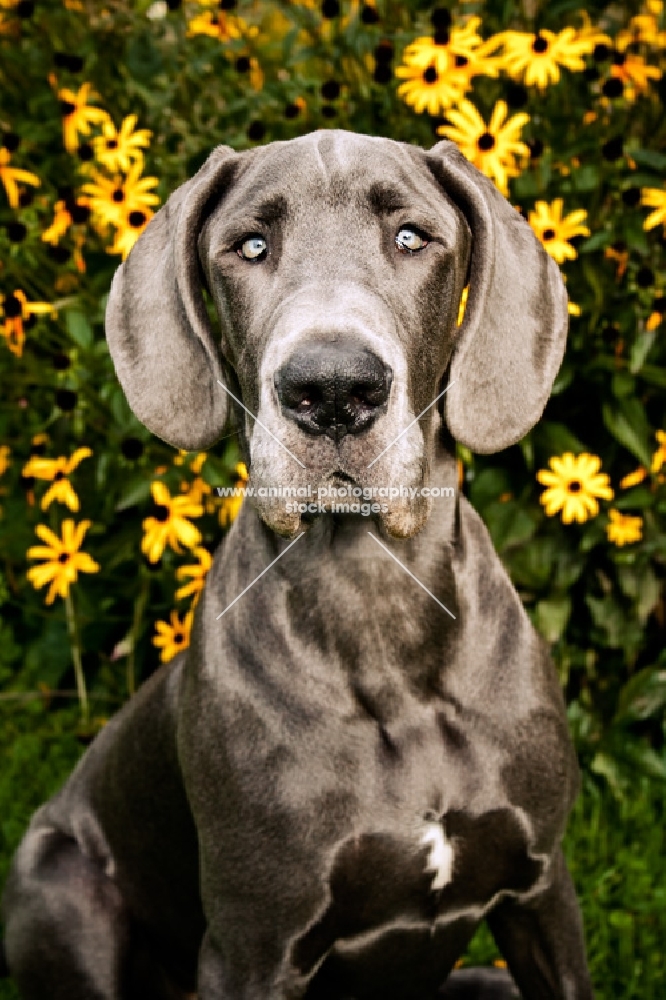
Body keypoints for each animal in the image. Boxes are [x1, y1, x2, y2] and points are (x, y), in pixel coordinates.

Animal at [0, 133, 592, 1000]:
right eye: (250, 247)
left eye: (411, 238)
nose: (334, 388)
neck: (374, 603)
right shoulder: (252, 948)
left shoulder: (542, 888)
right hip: (55, 880)